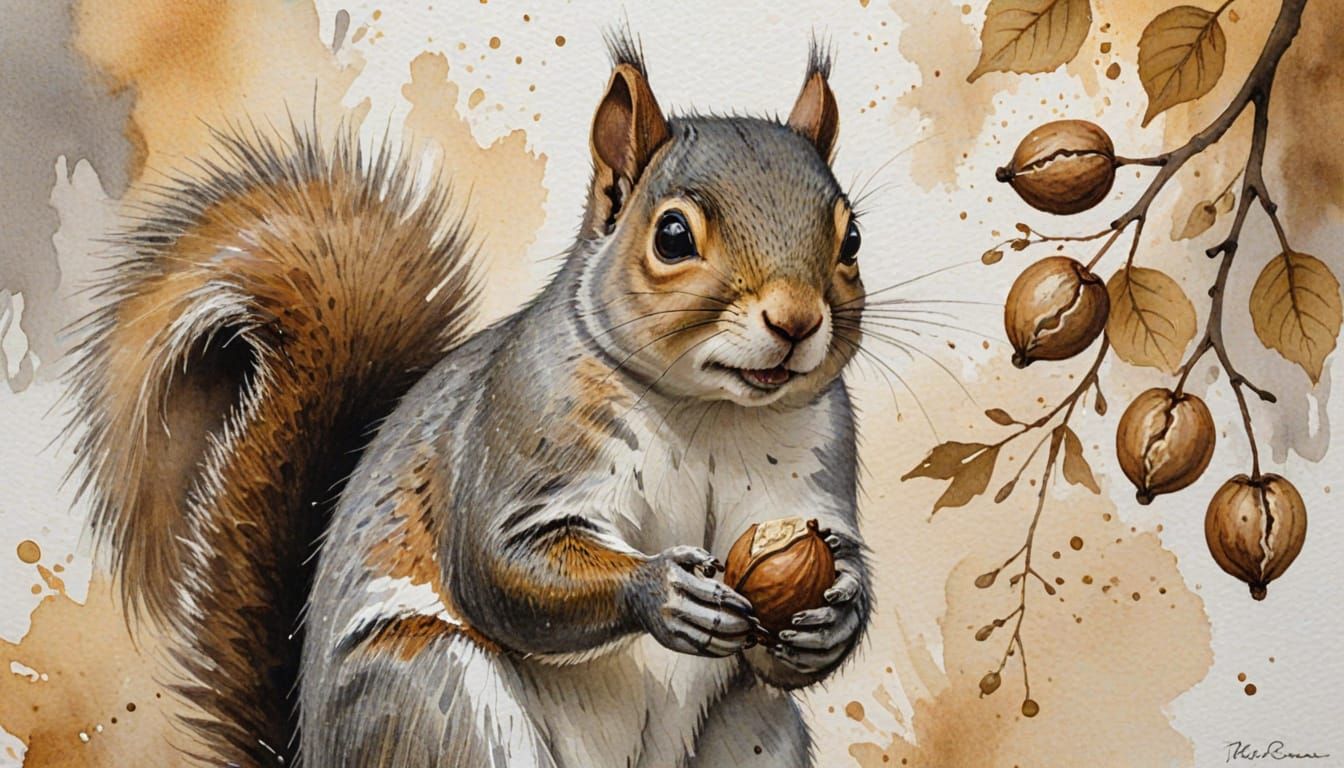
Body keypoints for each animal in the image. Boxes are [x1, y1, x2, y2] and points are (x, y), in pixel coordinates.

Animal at [70, 35, 871, 768]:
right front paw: (662, 591)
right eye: (672, 235)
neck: (709, 412)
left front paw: (834, 616)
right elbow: (498, 565)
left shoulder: (814, 464)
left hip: (751, 731)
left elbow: (825, 572)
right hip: (437, 699)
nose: (796, 321)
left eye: (853, 238)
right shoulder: (523, 426)